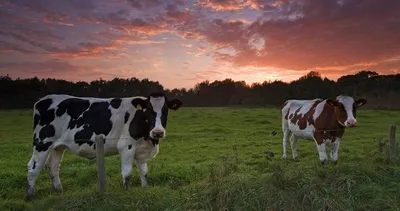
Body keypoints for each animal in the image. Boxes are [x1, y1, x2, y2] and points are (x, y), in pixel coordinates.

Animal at [27, 92, 184, 201]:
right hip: (42, 142)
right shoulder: (126, 146)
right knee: (34, 167)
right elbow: (127, 174)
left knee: (52, 166)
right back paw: (29, 197)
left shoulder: (142, 151)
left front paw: (145, 189)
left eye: (165, 110)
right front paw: (125, 192)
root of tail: (43, 99)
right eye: (149, 110)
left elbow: (144, 172)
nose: (158, 132)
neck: (148, 138)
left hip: (58, 146)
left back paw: (59, 192)